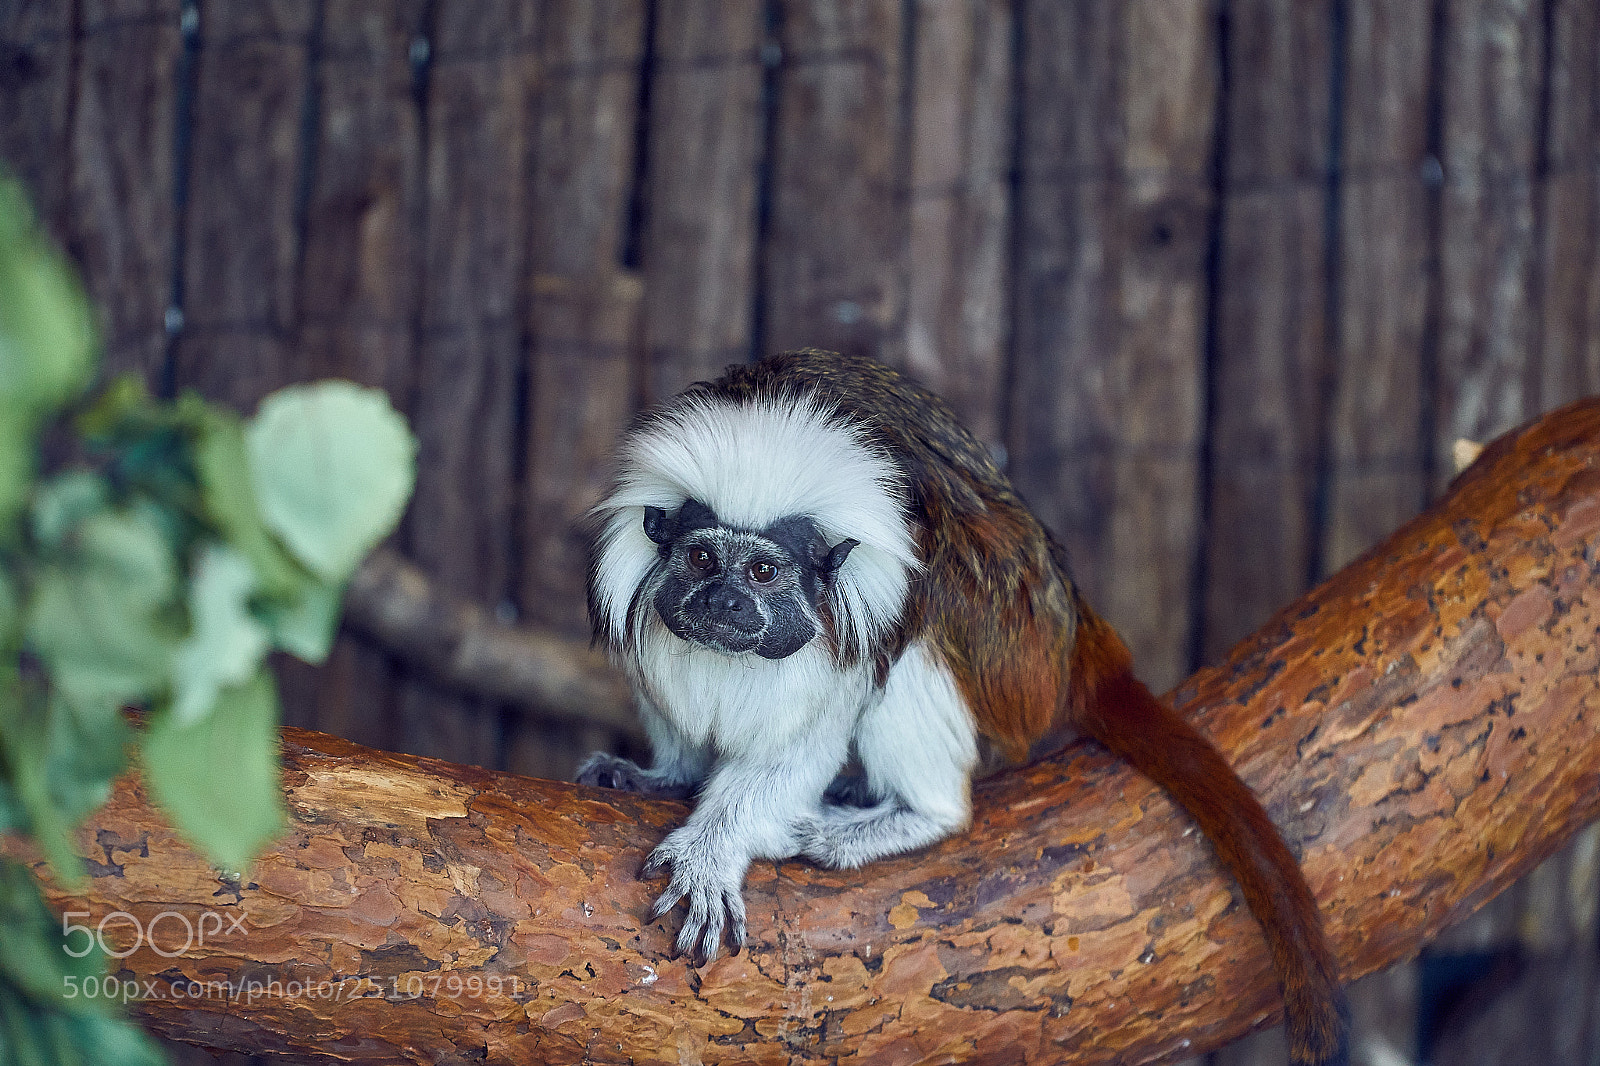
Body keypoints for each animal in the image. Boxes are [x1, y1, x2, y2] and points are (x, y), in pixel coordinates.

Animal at [576, 349, 1348, 1066]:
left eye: (764, 571)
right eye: (702, 561)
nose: (726, 603)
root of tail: (1072, 631)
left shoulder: (861, 617)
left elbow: (808, 740)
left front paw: (713, 851)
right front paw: (665, 774)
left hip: (1014, 662)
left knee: (934, 602)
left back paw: (910, 817)